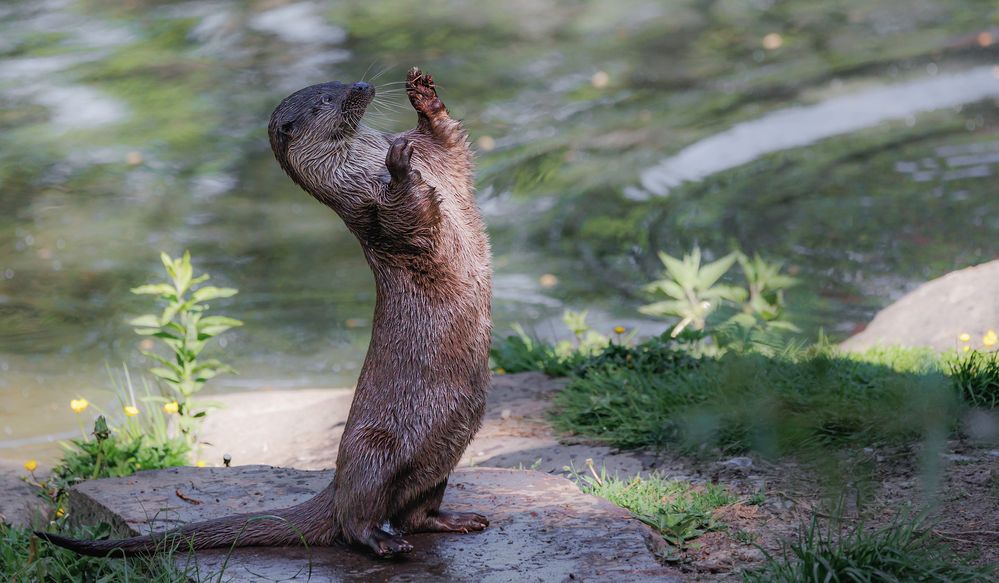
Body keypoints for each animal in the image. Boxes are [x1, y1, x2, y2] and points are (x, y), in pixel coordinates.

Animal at [36, 67, 496, 556]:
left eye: (338, 81)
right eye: (326, 100)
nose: (361, 86)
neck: (360, 166)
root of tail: (334, 482)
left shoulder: (441, 162)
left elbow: (450, 141)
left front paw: (423, 94)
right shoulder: (372, 213)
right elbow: (404, 214)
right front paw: (399, 166)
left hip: (441, 457)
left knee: (414, 512)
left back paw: (459, 520)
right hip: (376, 450)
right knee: (356, 517)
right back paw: (384, 544)